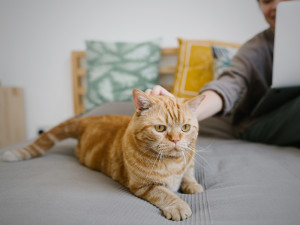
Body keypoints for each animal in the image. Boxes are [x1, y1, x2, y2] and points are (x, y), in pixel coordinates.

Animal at [1, 89, 204, 221]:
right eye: (160, 128)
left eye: (185, 128)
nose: (176, 140)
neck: (172, 163)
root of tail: (90, 117)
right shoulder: (144, 186)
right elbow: (165, 194)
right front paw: (178, 205)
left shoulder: (189, 158)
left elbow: (189, 173)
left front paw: (192, 185)